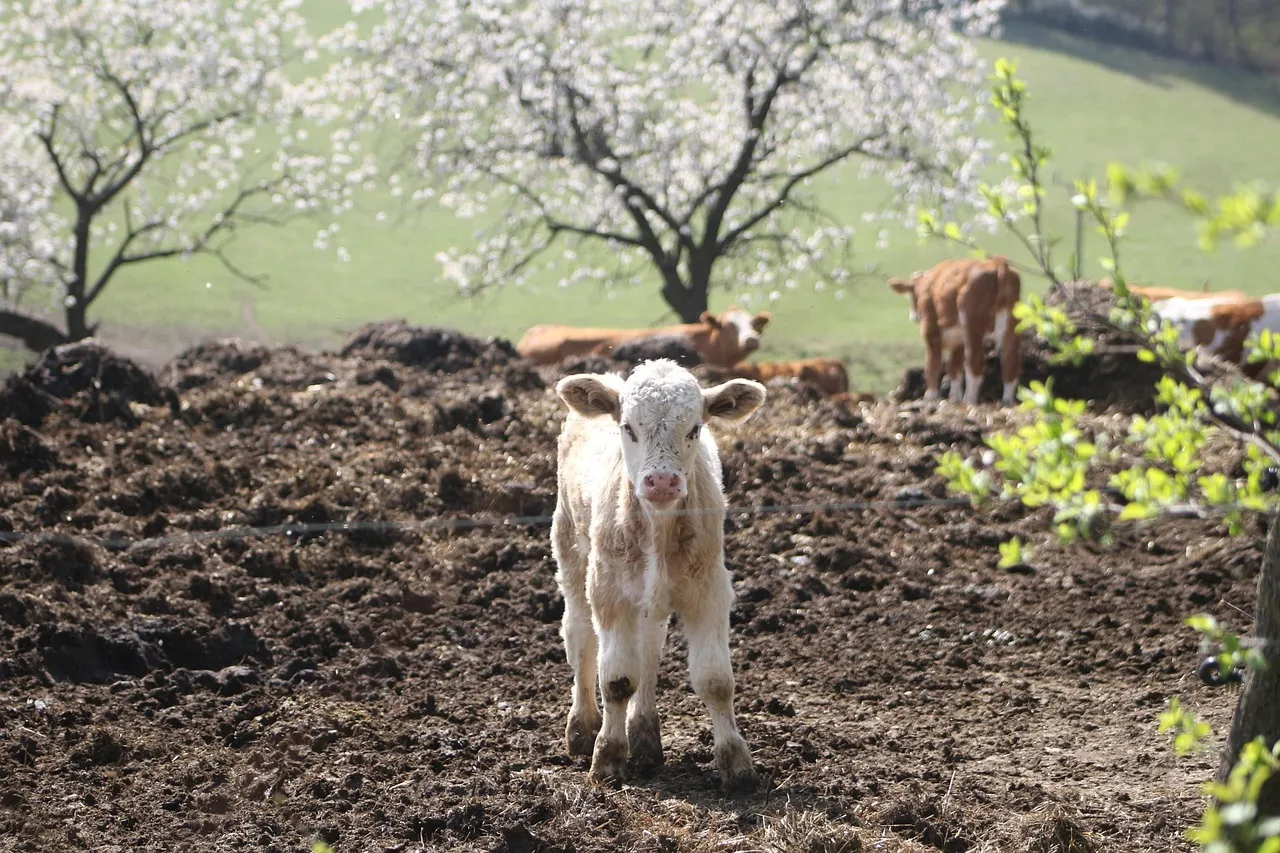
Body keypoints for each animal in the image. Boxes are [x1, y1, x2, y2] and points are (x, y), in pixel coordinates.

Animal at [551, 359, 764, 791]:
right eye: (628, 426)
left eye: (695, 428)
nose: (662, 481)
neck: (659, 527)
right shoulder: (609, 591)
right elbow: (616, 679)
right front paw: (607, 758)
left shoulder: (709, 589)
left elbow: (716, 680)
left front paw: (737, 766)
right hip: (570, 550)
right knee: (580, 635)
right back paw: (582, 728)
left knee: (649, 650)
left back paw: (646, 736)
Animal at [889, 256, 1023, 405]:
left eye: (911, 296)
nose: (913, 317)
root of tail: (996, 263)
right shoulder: (958, 341)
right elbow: (954, 367)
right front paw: (954, 398)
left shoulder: (931, 331)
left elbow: (933, 364)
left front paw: (930, 396)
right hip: (1012, 325)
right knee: (1010, 361)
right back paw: (1007, 400)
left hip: (973, 325)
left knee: (974, 363)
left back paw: (969, 400)